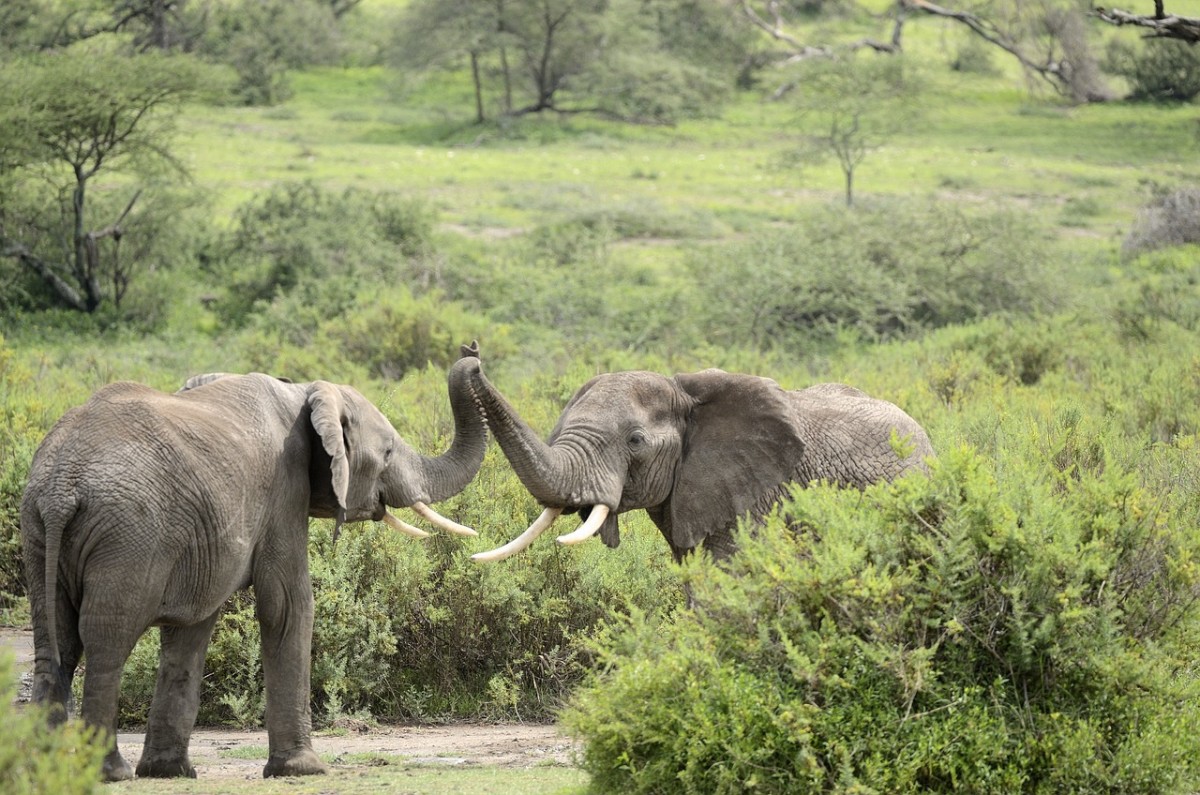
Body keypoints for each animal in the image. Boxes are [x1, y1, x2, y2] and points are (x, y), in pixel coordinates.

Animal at [19, 350, 487, 782]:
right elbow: (288, 605)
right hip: (128, 535)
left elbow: (192, 631)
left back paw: (43, 768)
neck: (304, 394)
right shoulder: (285, 488)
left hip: (38, 531)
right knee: (106, 642)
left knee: (55, 643)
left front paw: (170, 772)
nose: (473, 356)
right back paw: (110, 772)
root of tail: (61, 487)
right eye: (387, 451)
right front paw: (303, 769)